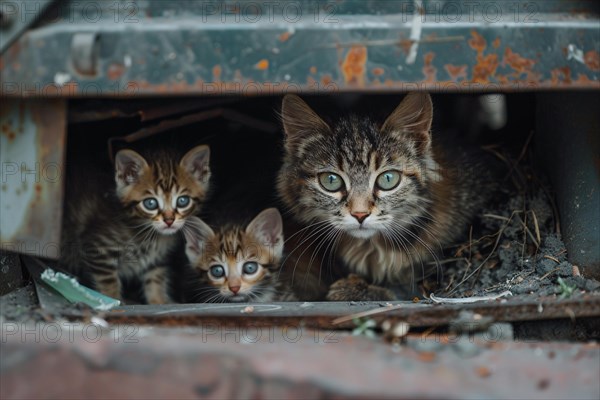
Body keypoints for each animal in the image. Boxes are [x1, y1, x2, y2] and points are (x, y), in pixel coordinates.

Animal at [60, 145, 211, 304]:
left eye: (183, 201)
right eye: (150, 203)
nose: (169, 220)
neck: (149, 234)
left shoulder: (156, 261)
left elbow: (156, 279)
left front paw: (159, 301)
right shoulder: (98, 249)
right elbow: (108, 282)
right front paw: (113, 300)